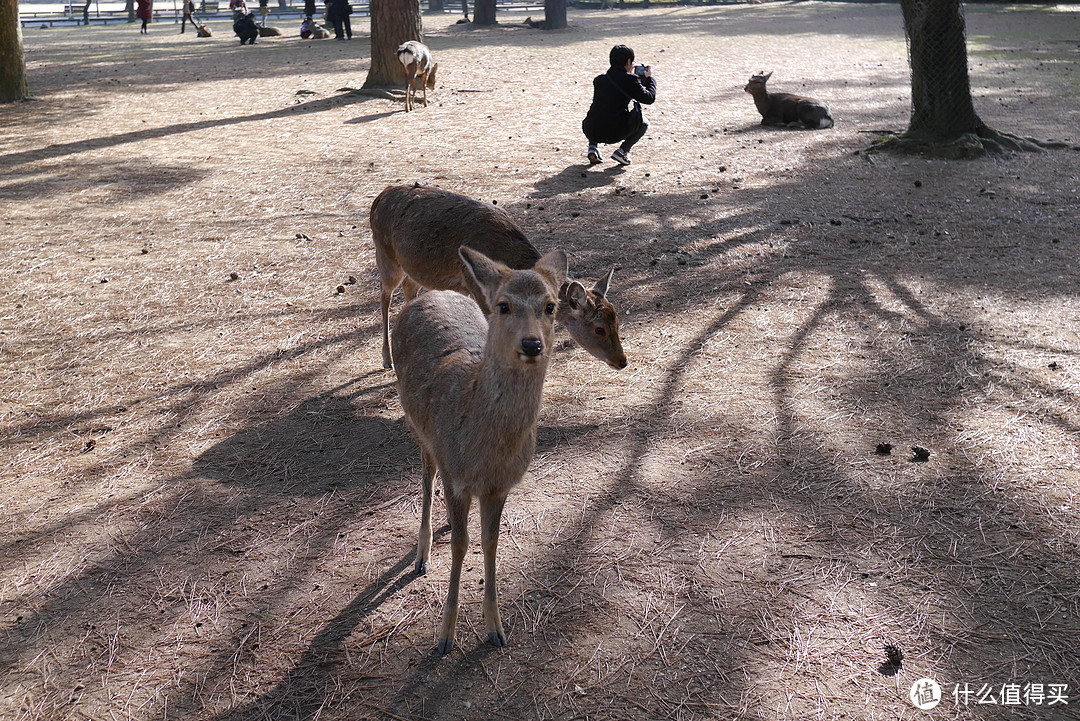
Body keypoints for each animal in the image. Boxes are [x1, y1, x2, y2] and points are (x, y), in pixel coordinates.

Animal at [369, 184, 626, 371]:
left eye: (617, 321)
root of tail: (378, 198)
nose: (622, 361)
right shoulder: (476, 287)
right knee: (384, 295)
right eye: (599, 329)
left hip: (413, 267)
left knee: (409, 288)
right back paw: (387, 359)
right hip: (386, 256)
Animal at [393, 245, 570, 651]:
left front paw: (496, 629)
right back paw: (423, 553)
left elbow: (489, 541)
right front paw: (445, 636)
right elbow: (461, 545)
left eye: (550, 306)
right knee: (426, 476)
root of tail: (428, 294)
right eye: (503, 305)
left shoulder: (500, 486)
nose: (532, 344)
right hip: (416, 425)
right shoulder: (456, 474)